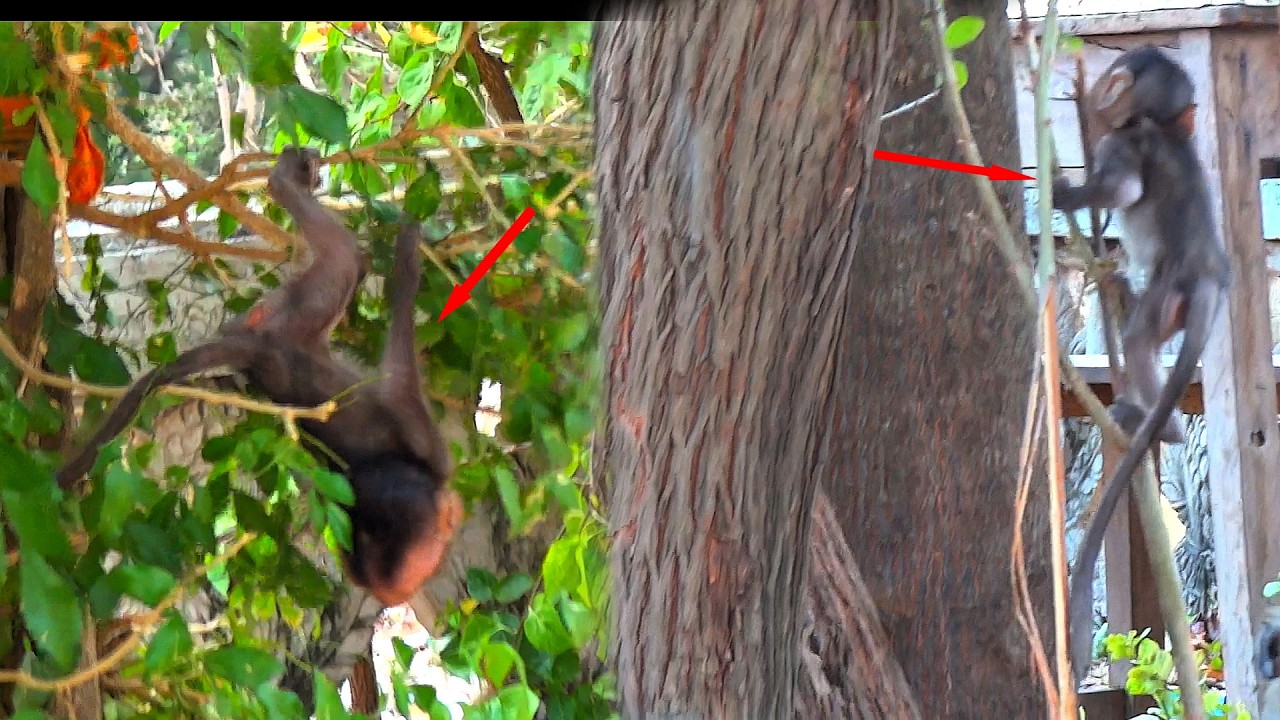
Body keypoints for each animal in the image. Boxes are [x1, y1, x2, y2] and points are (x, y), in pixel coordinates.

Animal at [55, 147, 463, 607]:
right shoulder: (416, 432)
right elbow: (399, 370)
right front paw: (409, 249)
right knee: (348, 259)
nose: (449, 514)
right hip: (303, 312)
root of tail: (261, 348)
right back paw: (286, 183)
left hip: (281, 312)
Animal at [1051, 45, 1231, 685]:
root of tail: (1209, 275)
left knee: (1137, 336)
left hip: (1168, 294)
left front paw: (1061, 190)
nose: (1100, 87)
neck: (1158, 127)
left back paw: (1162, 423)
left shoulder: (1125, 143)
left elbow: (1124, 189)